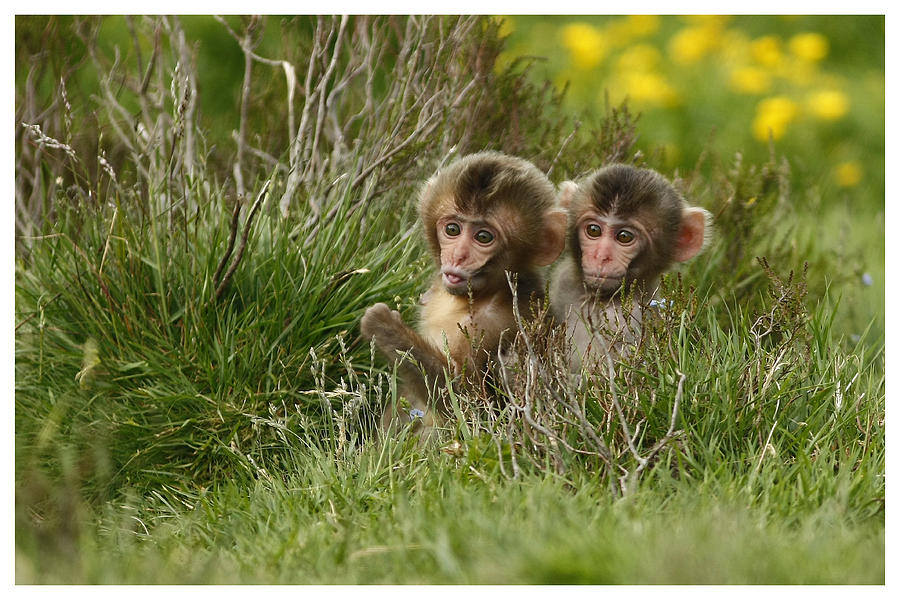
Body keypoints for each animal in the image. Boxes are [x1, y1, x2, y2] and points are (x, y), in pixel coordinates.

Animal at [356, 152, 564, 428]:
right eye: (452, 230)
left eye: (484, 237)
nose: (458, 256)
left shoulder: (501, 322)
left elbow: (474, 411)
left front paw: (385, 327)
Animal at [548, 164, 712, 370]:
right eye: (593, 230)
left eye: (624, 236)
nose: (601, 256)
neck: (602, 299)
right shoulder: (564, 282)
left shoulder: (633, 316)